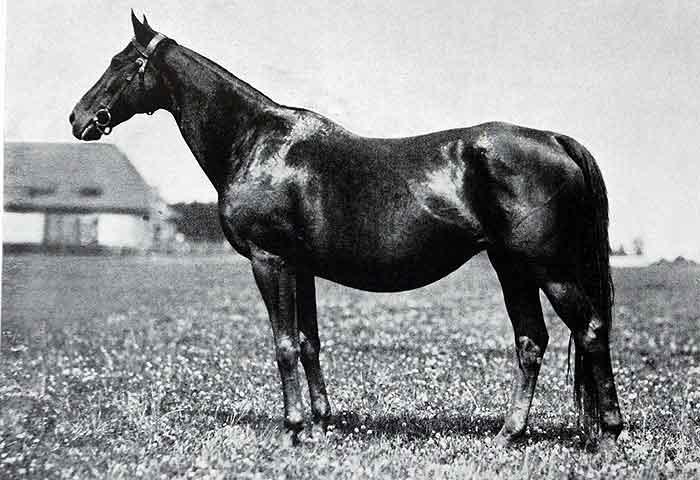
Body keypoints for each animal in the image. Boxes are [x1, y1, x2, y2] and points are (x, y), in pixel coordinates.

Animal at [70, 12, 623, 447]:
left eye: (121, 64)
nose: (78, 118)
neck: (257, 142)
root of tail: (555, 139)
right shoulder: (300, 267)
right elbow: (308, 342)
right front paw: (321, 424)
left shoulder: (269, 261)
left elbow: (284, 344)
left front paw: (293, 428)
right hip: (513, 267)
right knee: (531, 341)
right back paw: (509, 433)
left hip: (549, 269)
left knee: (591, 330)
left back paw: (609, 433)